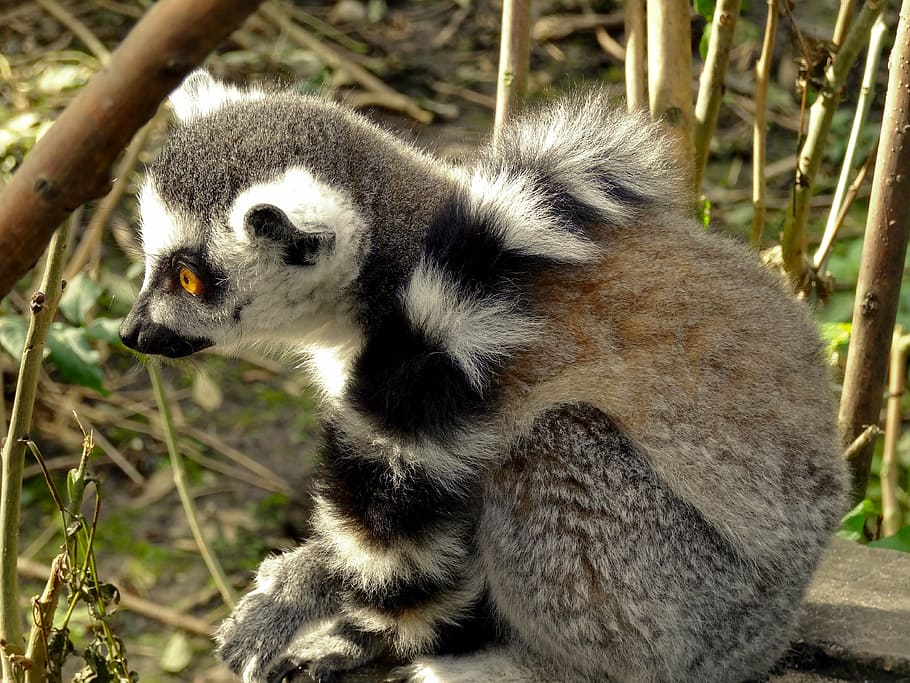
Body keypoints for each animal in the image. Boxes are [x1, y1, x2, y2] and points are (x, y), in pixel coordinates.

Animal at [119, 71, 848, 683]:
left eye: (189, 278)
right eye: (153, 258)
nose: (131, 332)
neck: (391, 277)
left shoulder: (463, 378)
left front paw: (310, 590)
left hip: (698, 597)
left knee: (554, 448)